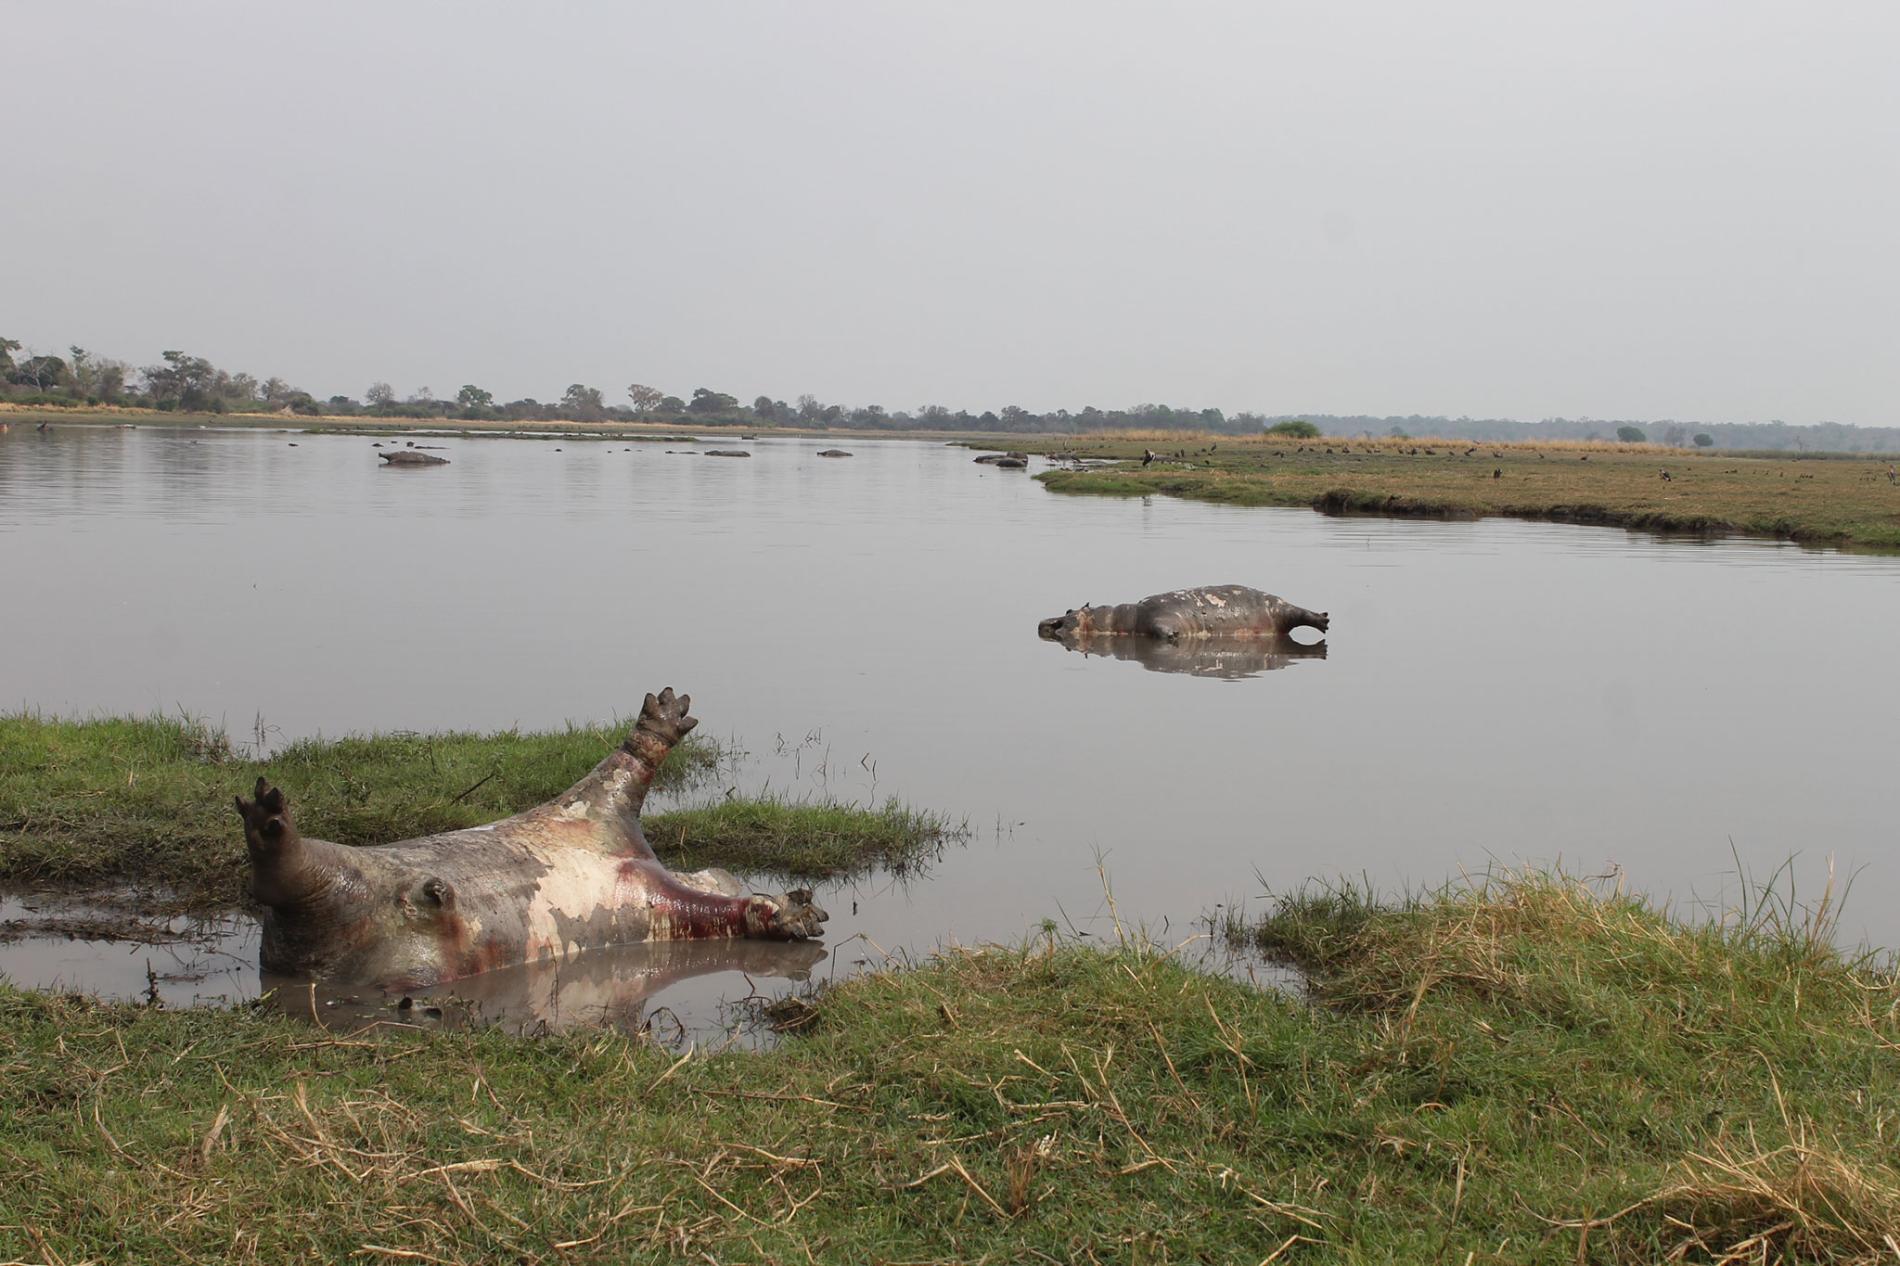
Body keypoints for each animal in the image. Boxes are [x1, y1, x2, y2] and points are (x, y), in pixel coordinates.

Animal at [231, 680, 824, 988]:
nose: (811, 905)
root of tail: (308, 961)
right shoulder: (598, 810)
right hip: (352, 867)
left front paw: (791, 916)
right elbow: (623, 770)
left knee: (294, 888)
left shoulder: (658, 898)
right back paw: (269, 821)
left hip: (364, 923)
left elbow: (721, 910)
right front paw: (661, 718)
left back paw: (267, 829)